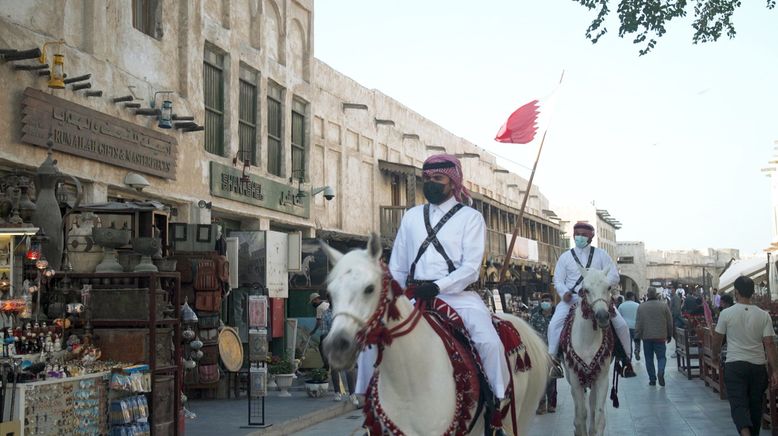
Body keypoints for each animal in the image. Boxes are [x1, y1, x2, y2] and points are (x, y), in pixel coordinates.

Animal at [556, 266, 620, 436]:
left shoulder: (602, 378)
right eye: (585, 290)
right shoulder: (575, 381)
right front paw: (579, 429)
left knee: (592, 404)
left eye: (609, 287)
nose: (603, 316)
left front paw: (594, 429)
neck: (588, 340)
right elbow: (580, 415)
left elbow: (598, 415)